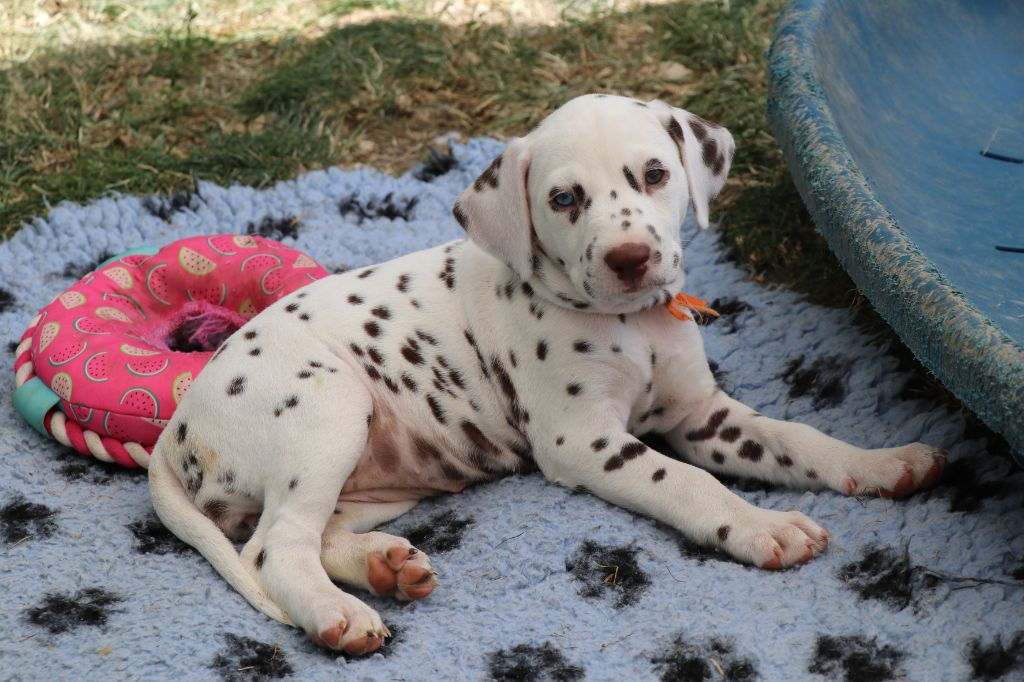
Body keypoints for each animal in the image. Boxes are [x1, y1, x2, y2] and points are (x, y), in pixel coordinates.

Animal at [149, 94, 945, 656]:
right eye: (565, 199)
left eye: (655, 174)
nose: (631, 258)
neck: (632, 324)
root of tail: (178, 425)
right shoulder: (584, 442)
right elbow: (687, 481)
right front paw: (761, 527)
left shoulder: (705, 416)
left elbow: (798, 438)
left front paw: (883, 462)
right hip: (328, 409)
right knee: (275, 547)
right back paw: (339, 615)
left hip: (380, 475)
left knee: (318, 532)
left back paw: (386, 567)